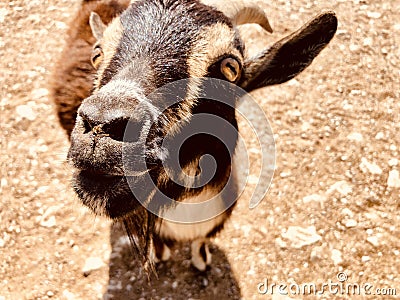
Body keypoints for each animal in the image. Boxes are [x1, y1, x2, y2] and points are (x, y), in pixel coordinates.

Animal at [50, 0, 338, 272]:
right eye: (97, 54)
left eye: (231, 67)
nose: (101, 125)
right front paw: (160, 256)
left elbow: (201, 242)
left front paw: (201, 261)